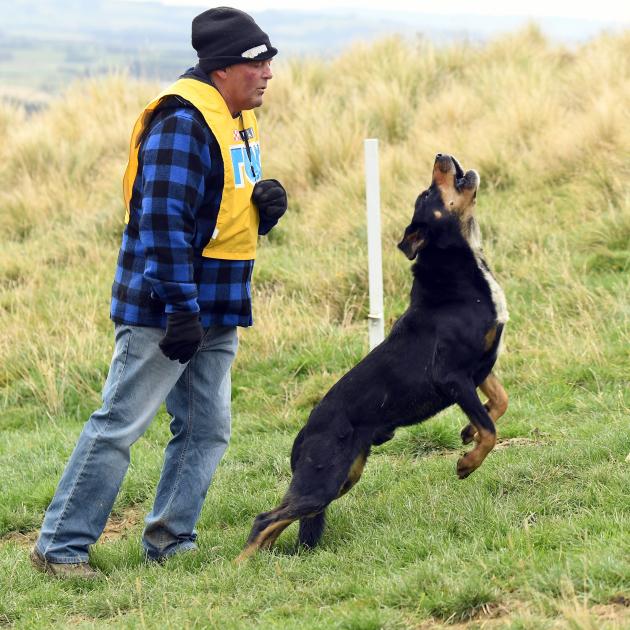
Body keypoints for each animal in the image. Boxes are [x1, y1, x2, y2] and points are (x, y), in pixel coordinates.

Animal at [239, 154, 512, 564]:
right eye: (427, 193)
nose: (441, 156)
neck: (460, 275)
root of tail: (304, 434)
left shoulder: (479, 367)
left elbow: (498, 404)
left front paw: (467, 432)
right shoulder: (451, 376)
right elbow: (491, 430)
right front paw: (467, 463)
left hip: (343, 478)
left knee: (278, 520)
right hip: (324, 480)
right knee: (264, 520)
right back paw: (240, 567)